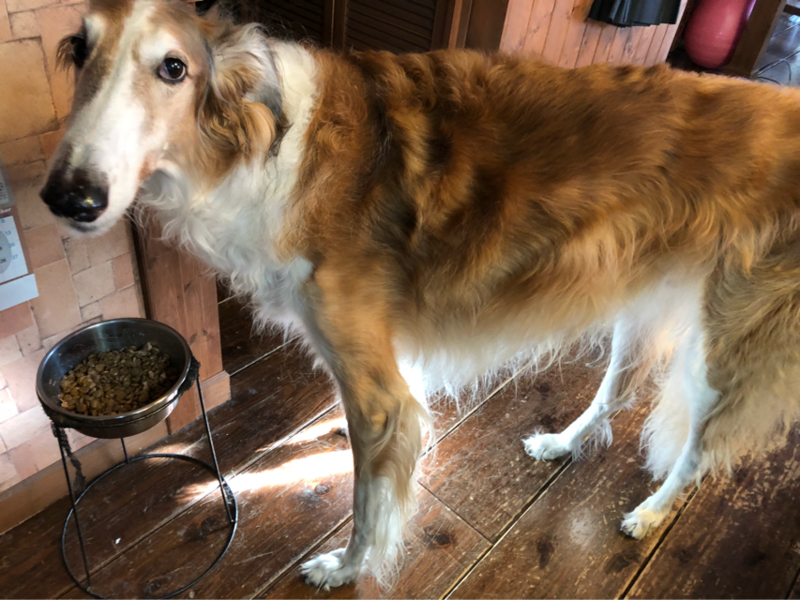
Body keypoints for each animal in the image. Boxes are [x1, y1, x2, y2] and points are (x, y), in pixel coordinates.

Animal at [39, 0, 800, 590]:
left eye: (174, 68)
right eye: (79, 48)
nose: (67, 198)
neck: (275, 146)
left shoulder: (379, 394)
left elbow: (369, 499)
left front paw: (346, 569)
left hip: (724, 344)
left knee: (701, 449)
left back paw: (652, 513)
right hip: (638, 302)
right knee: (617, 391)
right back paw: (562, 441)